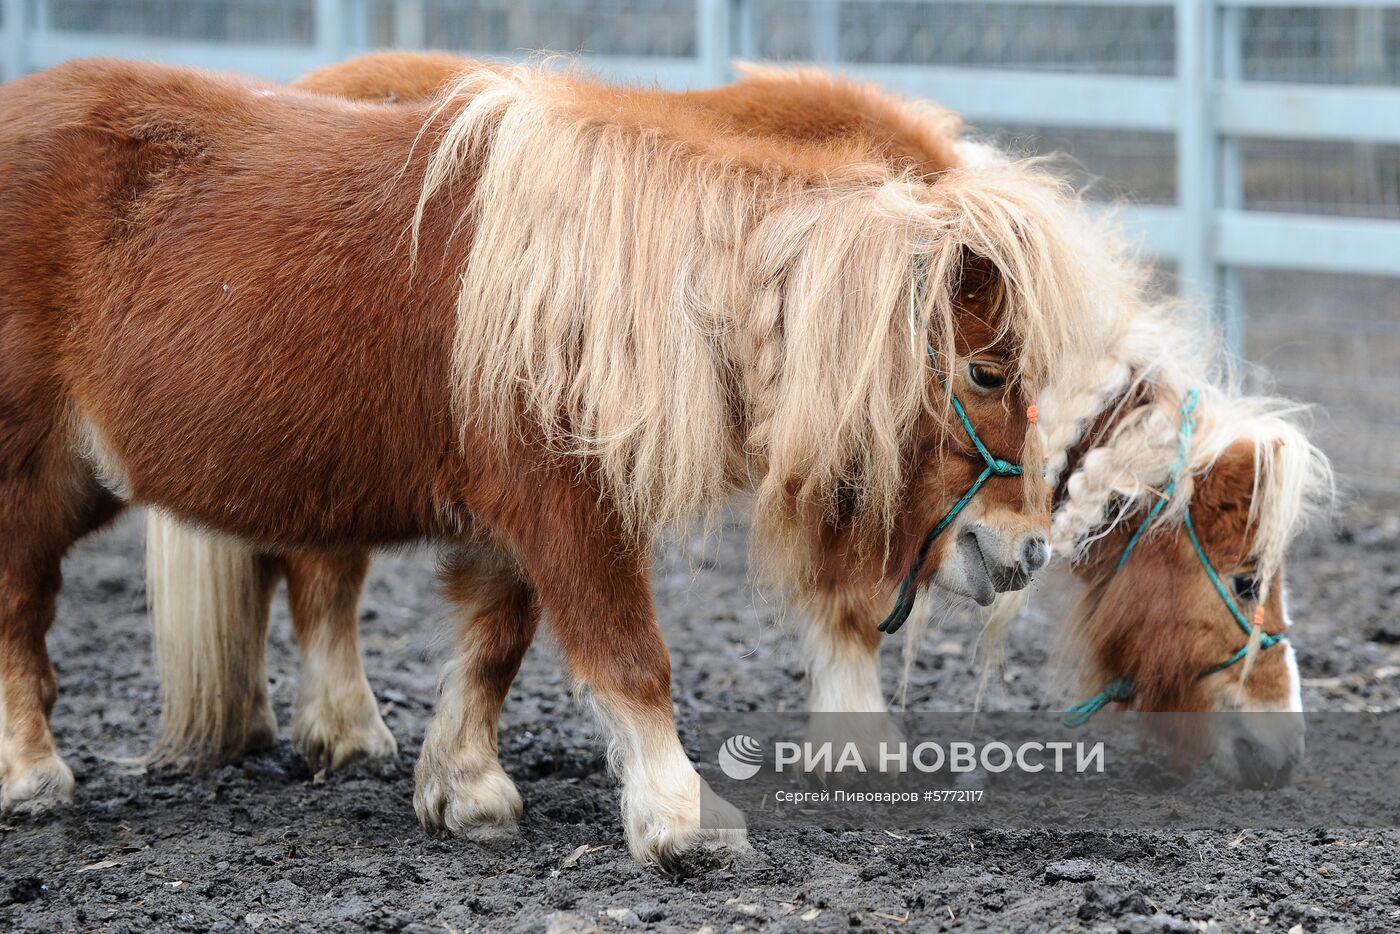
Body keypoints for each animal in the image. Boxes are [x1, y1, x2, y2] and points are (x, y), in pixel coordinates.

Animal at [0, 58, 1103, 862]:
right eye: (990, 371)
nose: (1027, 550)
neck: (624, 290)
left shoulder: (513, 520)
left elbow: (492, 646)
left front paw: (465, 789)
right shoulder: (572, 507)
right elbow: (628, 654)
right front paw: (681, 820)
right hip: (30, 479)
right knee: (24, 611)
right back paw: (31, 776)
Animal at [147, 54, 1327, 795]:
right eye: (1246, 580)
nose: (1283, 750)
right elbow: (846, 604)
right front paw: (862, 748)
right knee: (320, 574)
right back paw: (349, 731)